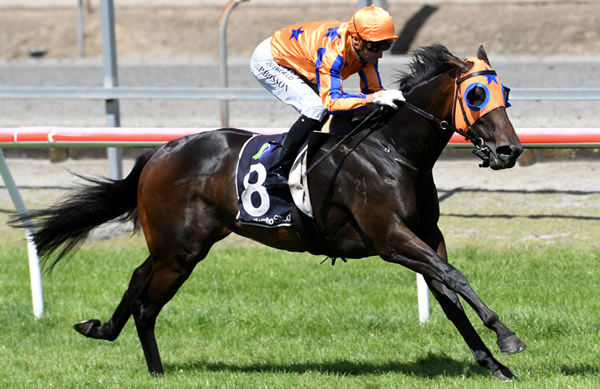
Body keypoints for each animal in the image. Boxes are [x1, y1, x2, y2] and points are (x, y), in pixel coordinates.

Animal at [14, 44, 524, 378]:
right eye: (476, 95)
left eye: (505, 92)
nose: (509, 150)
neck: (393, 151)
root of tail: (160, 151)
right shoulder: (390, 238)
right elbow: (455, 279)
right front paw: (507, 337)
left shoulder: (425, 237)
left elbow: (450, 296)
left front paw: (494, 364)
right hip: (180, 251)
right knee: (147, 302)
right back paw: (153, 368)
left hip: (177, 245)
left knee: (139, 279)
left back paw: (103, 330)